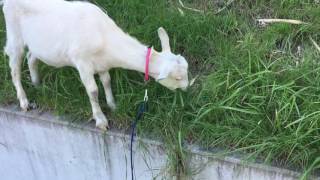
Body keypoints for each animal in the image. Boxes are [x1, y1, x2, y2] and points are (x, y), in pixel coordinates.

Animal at [1, 0, 188, 129]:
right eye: (178, 77)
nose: (187, 88)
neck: (104, 37)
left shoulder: (102, 64)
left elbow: (106, 81)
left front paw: (113, 105)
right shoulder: (82, 62)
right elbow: (93, 91)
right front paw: (101, 119)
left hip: (38, 43)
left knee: (31, 57)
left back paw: (37, 84)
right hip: (14, 35)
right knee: (14, 67)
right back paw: (24, 101)